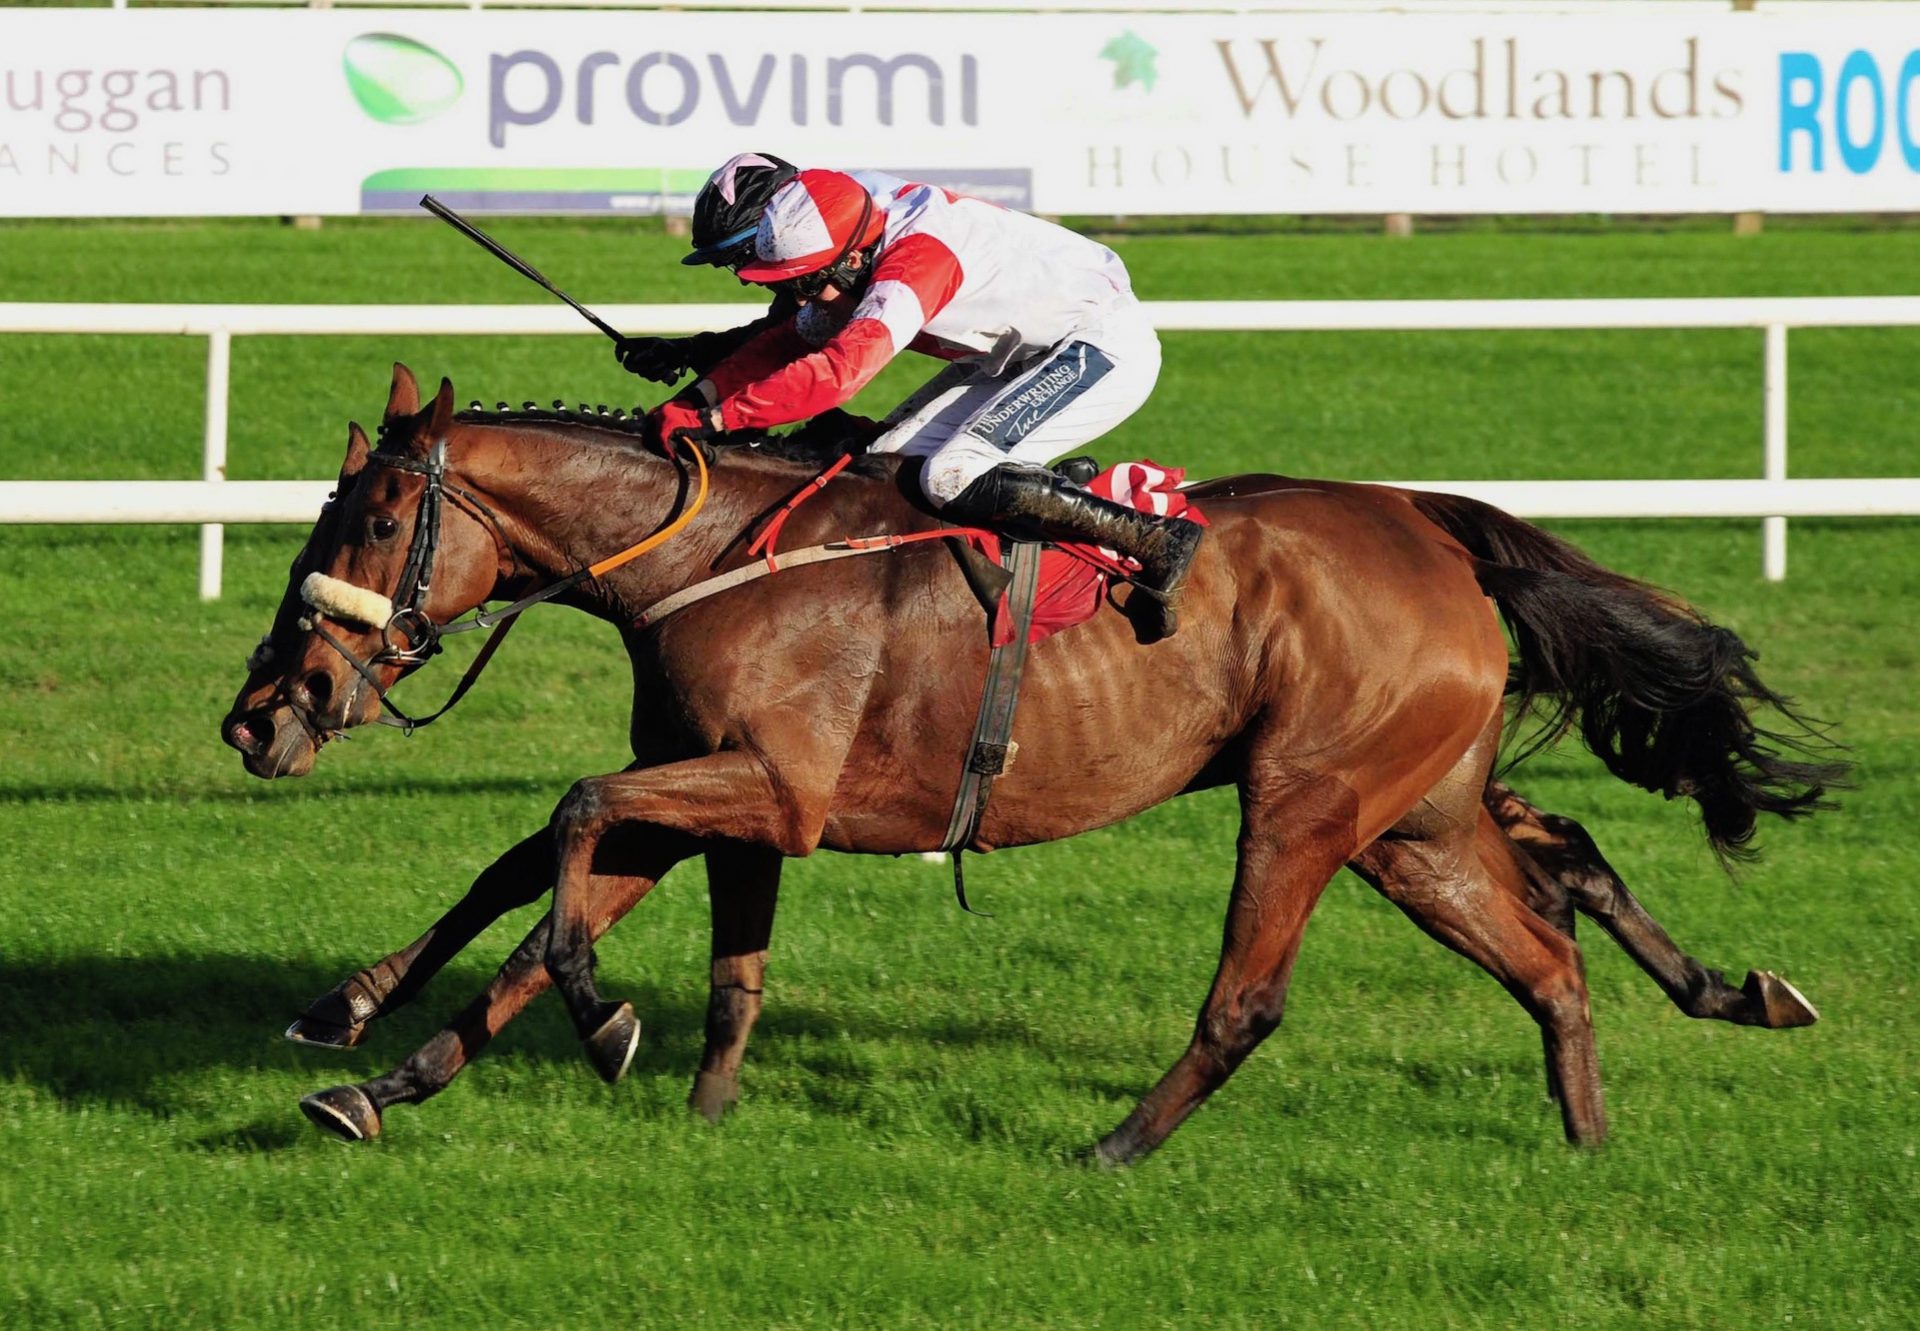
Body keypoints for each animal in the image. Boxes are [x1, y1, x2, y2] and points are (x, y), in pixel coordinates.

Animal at [217, 366, 1835, 1160]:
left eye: (373, 519)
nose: (264, 708)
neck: (713, 552)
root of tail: (1429, 522)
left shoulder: (774, 789)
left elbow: (564, 825)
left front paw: (606, 1021)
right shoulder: (715, 792)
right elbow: (575, 898)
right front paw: (381, 1067)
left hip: (1309, 798)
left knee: (1252, 996)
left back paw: (1114, 1146)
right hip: (1412, 816)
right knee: (1552, 931)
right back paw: (1609, 1114)